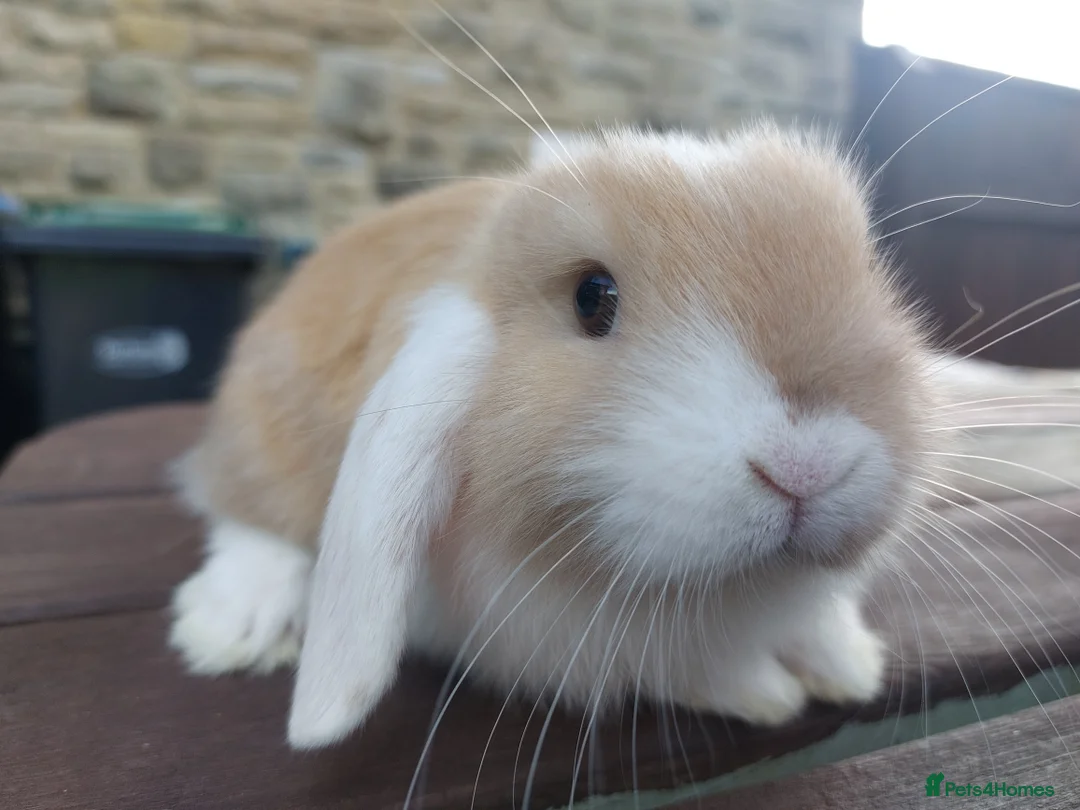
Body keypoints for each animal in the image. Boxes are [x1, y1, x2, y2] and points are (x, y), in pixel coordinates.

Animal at [167, 120, 954, 751]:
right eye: (591, 298)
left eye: (869, 273)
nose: (806, 465)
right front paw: (768, 694)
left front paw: (850, 665)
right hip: (262, 438)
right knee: (246, 515)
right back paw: (231, 629)